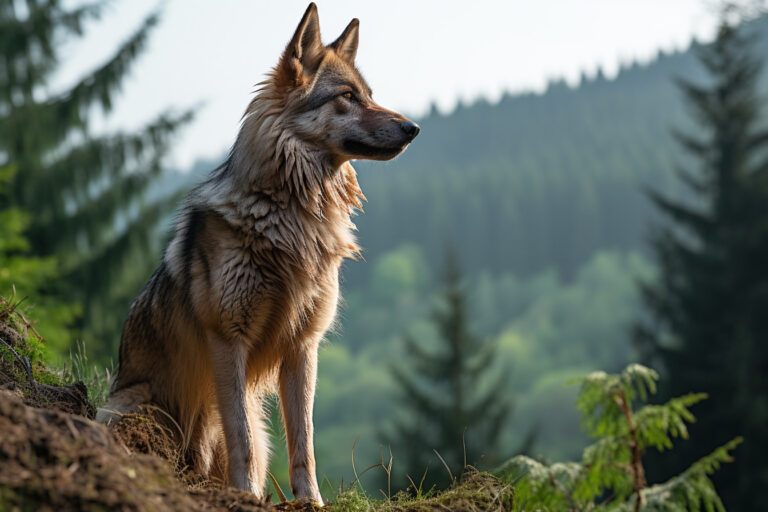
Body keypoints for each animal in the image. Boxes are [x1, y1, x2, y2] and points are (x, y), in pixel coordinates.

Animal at [96, 3, 419, 504]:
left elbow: (304, 440)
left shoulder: (304, 347)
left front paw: (311, 502)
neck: (292, 215)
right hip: (144, 408)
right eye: (347, 97)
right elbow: (241, 437)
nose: (413, 128)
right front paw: (246, 495)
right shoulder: (229, 341)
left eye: (370, 95)